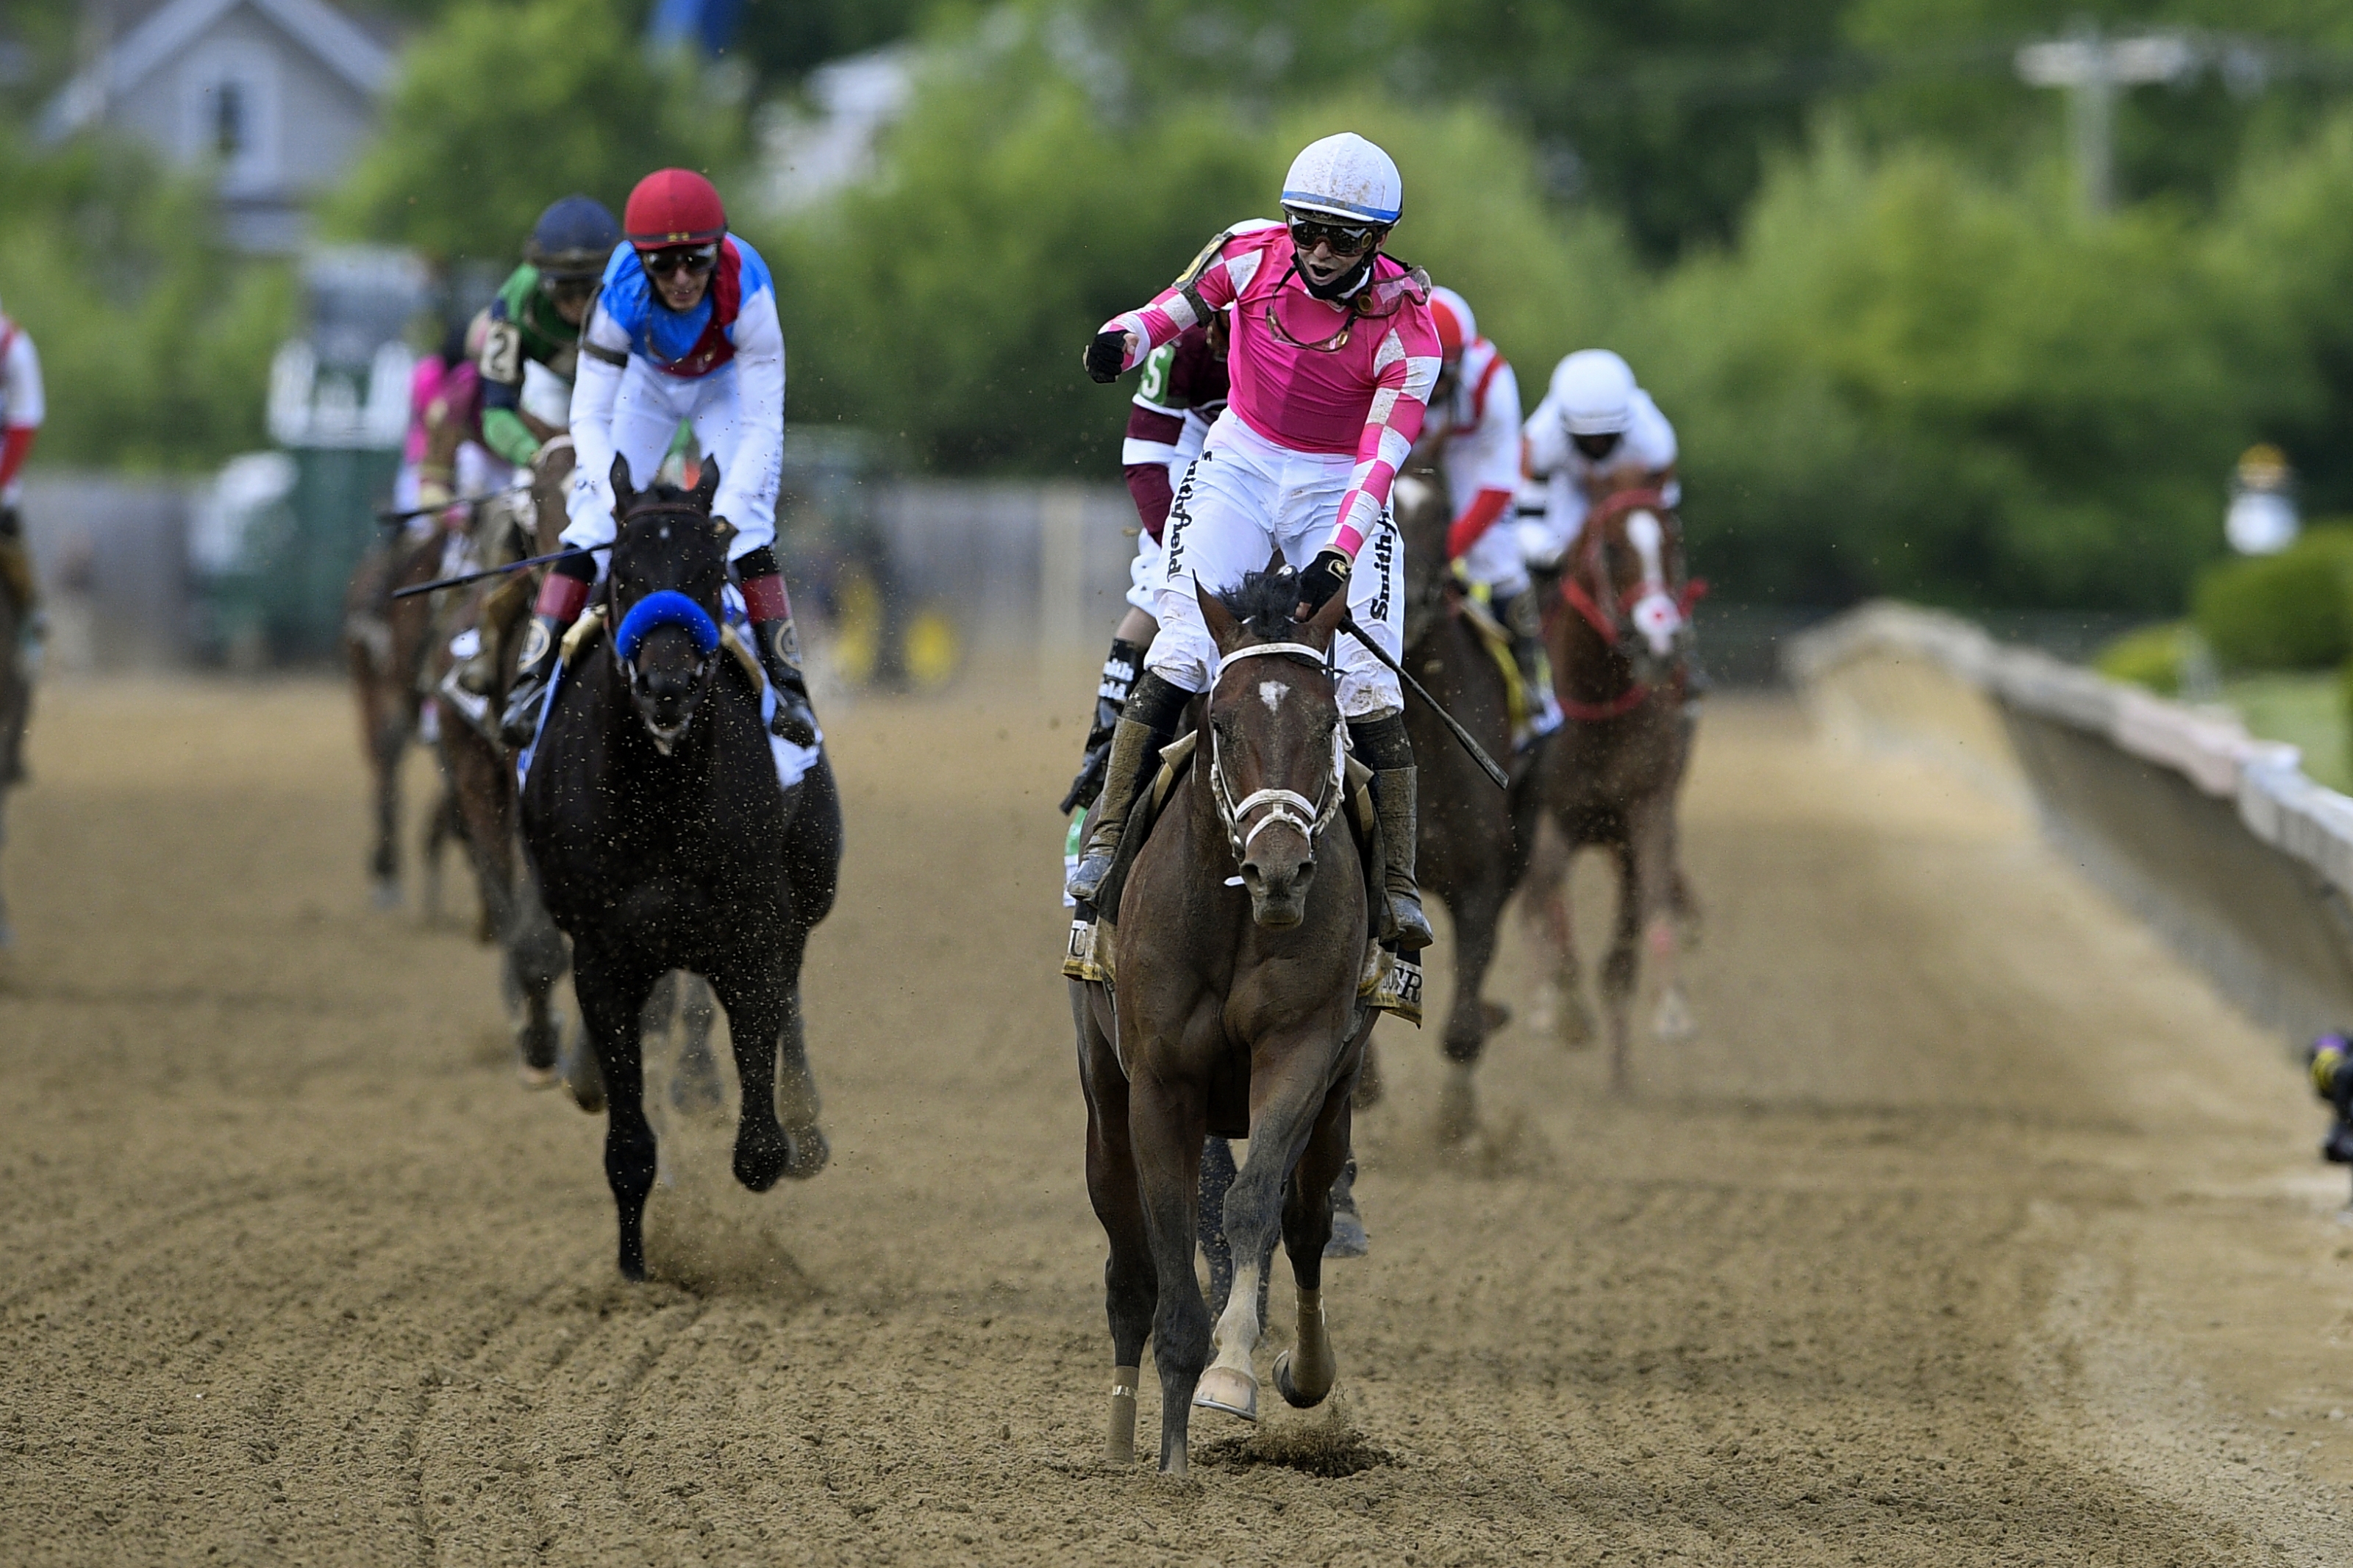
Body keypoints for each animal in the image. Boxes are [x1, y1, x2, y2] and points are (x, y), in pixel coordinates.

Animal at [524, 460, 847, 1278]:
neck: (659, 793)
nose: (665, 687)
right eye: (622, 574)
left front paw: (780, 1139)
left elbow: (759, 1144)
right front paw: (637, 1268)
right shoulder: (604, 956)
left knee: (790, 995)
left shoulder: (749, 932)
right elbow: (629, 1142)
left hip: (807, 888)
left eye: (707, 572)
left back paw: (805, 1122)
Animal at [1077, 571, 1374, 1476]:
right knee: (1128, 1270)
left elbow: (1249, 1208)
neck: (1241, 917)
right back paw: (1119, 1439)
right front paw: (1170, 1454)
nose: (1278, 871)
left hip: (1334, 1105)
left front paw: (1232, 1372)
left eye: (1327, 722)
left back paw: (1301, 1370)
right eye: (1221, 722)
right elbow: (1172, 1236)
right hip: (1104, 1104)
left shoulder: (1301, 1054)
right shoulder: (1158, 1082)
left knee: (1306, 1225)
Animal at [1524, 482, 1694, 1090]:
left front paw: (1666, 1011)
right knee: (1539, 900)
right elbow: (1548, 893)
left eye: (1673, 542)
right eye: (1614, 548)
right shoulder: (1550, 814)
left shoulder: (1646, 810)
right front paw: (1561, 1008)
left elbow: (1649, 903)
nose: (1660, 636)